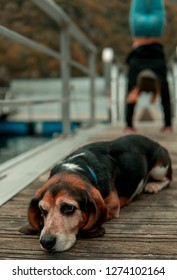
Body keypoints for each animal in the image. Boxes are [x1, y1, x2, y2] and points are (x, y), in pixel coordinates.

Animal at [19, 135, 171, 253]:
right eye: (42, 210)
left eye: (68, 208)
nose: (46, 241)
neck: (77, 167)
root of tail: (154, 142)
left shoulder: (112, 205)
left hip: (159, 169)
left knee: (168, 180)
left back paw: (152, 185)